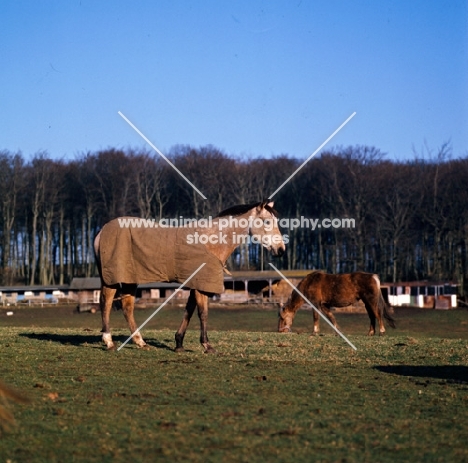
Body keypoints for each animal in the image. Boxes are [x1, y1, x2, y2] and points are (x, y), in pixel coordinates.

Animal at [94, 201, 286, 354]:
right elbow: (203, 313)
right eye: (267, 221)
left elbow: (189, 310)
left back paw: (140, 342)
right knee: (106, 303)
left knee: (127, 307)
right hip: (112, 280)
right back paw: (109, 341)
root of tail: (101, 232)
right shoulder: (202, 286)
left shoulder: (196, 284)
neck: (211, 241)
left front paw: (179, 343)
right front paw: (207, 345)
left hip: (129, 280)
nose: (281, 249)